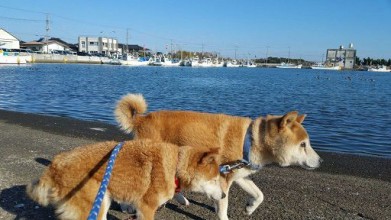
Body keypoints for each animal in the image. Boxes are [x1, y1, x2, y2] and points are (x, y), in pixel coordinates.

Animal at [26, 140, 227, 219]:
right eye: (214, 180)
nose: (225, 196)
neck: (174, 165)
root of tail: (56, 164)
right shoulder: (146, 208)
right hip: (96, 203)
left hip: (103, 198)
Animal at [115, 93, 324, 220]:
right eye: (303, 145)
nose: (321, 161)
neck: (249, 141)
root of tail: (141, 119)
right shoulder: (223, 179)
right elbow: (224, 207)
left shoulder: (239, 175)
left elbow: (259, 195)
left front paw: (249, 207)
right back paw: (126, 207)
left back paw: (181, 200)